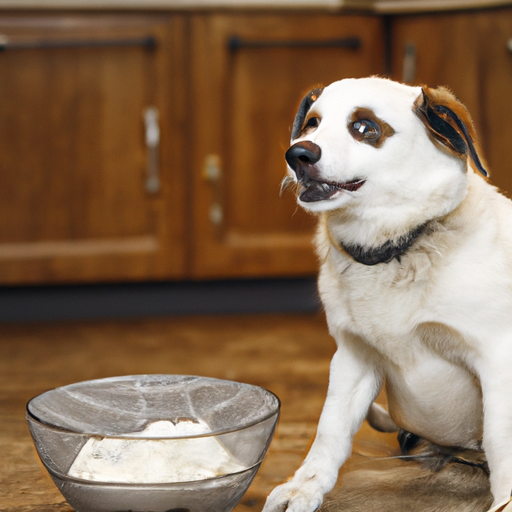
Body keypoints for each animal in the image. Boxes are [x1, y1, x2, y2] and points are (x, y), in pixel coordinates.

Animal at [264, 77, 512, 512]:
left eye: (365, 127)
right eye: (312, 124)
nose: (297, 154)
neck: (397, 249)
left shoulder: (497, 357)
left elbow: (502, 443)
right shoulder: (353, 356)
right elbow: (330, 429)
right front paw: (305, 487)